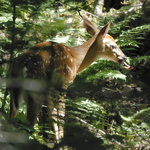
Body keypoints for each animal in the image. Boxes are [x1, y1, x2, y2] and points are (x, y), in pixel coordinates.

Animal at [8, 14, 132, 144]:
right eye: (113, 45)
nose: (124, 57)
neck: (76, 60)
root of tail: (19, 66)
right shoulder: (63, 82)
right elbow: (61, 115)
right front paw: (61, 141)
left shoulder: (51, 89)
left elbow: (52, 114)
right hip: (35, 86)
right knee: (28, 124)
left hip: (13, 91)